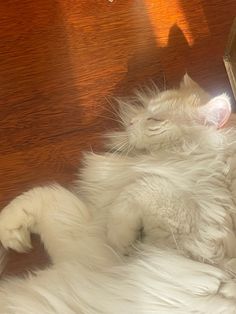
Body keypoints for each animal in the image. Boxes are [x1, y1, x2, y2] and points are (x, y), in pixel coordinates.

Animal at [1, 75, 236, 312]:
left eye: (155, 119)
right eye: (146, 108)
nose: (131, 121)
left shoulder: (203, 240)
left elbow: (143, 186)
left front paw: (120, 237)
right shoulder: (93, 249)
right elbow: (43, 196)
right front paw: (10, 230)